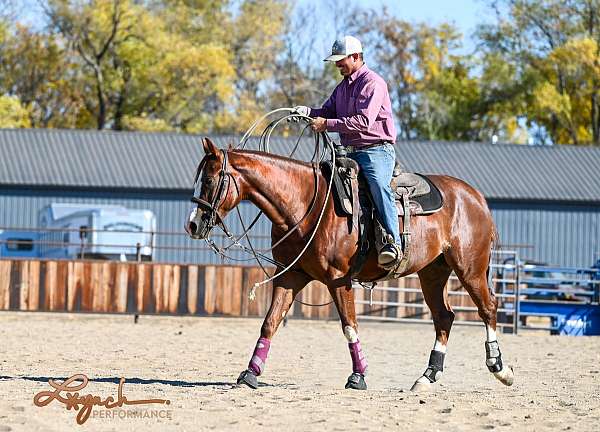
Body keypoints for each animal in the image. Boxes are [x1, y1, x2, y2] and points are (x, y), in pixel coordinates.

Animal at [188, 138, 516, 392]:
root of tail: (475, 197)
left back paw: (500, 368)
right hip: (433, 273)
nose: (192, 225)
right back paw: (427, 377)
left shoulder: (338, 279)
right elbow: (270, 322)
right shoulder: (290, 276)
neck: (307, 204)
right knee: (444, 317)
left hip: (470, 268)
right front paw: (250, 373)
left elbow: (349, 326)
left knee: (488, 308)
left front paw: (358, 376)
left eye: (209, 180)